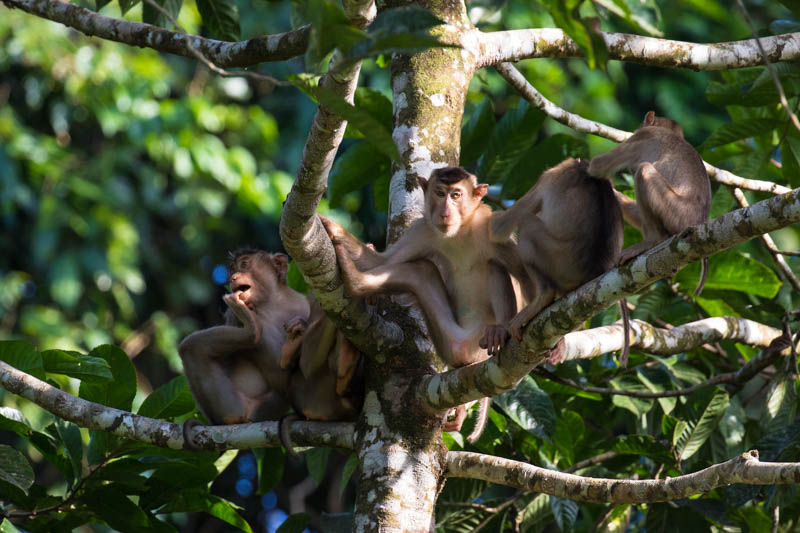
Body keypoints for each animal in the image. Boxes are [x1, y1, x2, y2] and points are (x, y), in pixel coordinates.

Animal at [584, 110, 708, 298]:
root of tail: (699, 221)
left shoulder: (641, 136)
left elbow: (597, 166)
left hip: (677, 214)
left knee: (644, 170)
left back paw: (652, 241)